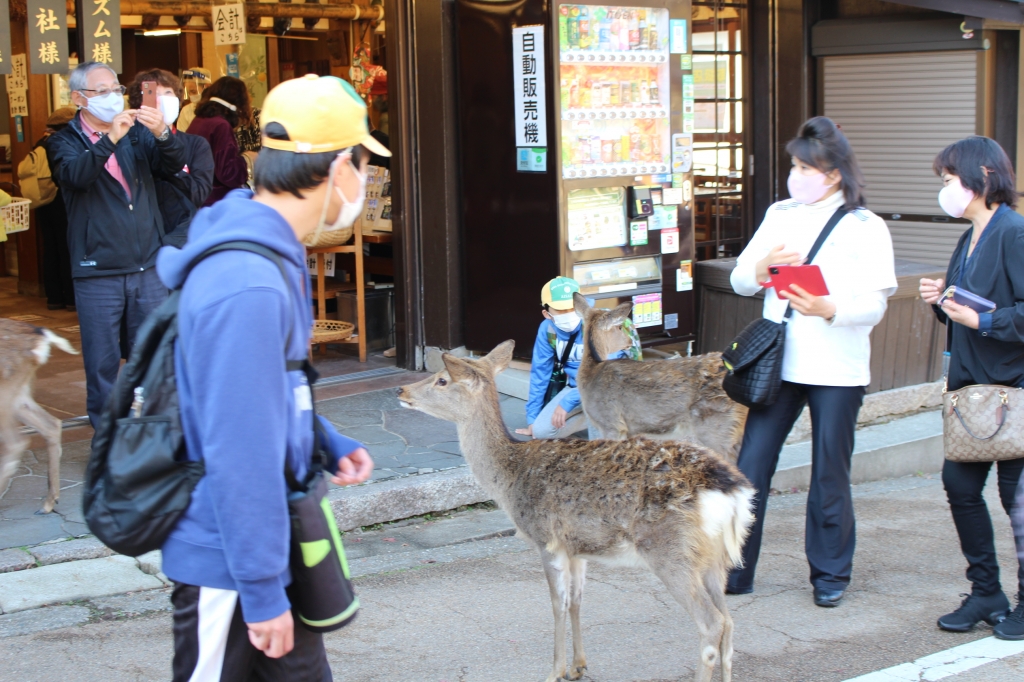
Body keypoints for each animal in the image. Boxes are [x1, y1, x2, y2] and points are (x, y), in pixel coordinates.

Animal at [0, 319, 77, 514]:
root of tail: (40, 334)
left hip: (5, 395)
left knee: (16, 443)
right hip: (19, 394)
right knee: (52, 424)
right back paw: (49, 503)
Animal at [397, 340, 755, 682]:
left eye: (442, 380)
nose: (401, 391)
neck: (510, 478)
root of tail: (732, 492)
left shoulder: (546, 538)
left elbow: (557, 604)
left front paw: (554, 671)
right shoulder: (577, 547)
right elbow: (577, 601)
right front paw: (578, 666)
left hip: (671, 552)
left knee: (712, 623)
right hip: (714, 558)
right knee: (729, 622)